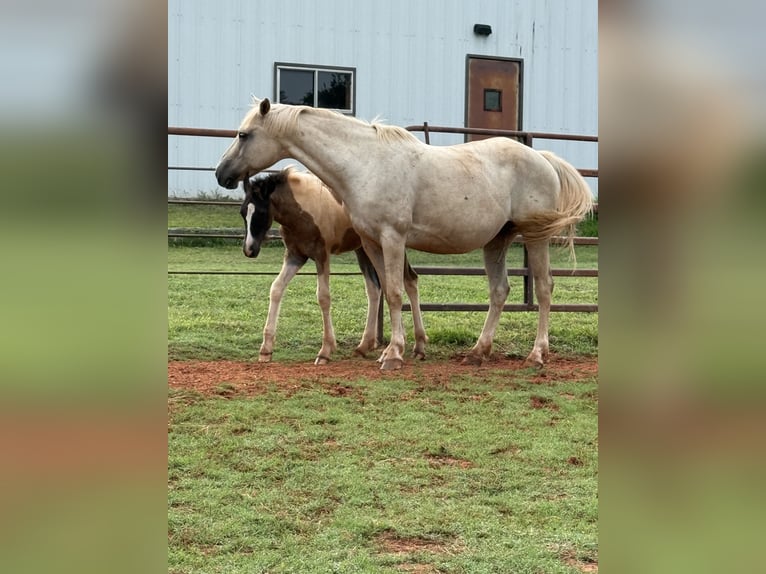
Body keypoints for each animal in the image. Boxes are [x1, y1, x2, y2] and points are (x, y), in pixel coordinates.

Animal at [240, 166, 426, 365]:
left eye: (261, 212)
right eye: (243, 212)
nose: (249, 249)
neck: (303, 209)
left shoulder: (322, 255)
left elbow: (323, 297)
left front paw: (325, 350)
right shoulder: (295, 256)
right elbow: (276, 288)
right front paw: (266, 349)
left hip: (390, 247)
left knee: (409, 280)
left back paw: (418, 346)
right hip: (364, 250)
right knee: (376, 288)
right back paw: (367, 345)